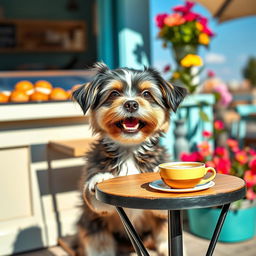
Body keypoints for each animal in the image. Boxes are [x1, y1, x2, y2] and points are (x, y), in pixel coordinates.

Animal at [72, 62, 186, 256]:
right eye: (114, 93)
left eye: (146, 94)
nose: (131, 104)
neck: (129, 150)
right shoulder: (100, 209)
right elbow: (98, 200)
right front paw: (99, 179)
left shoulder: (163, 211)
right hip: (92, 225)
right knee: (98, 243)